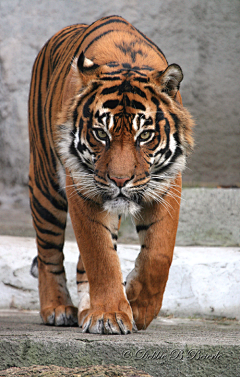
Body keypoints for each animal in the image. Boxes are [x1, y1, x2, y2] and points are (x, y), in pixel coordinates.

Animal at [28, 14, 193, 334]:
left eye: (145, 136)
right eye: (100, 134)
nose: (119, 181)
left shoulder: (167, 183)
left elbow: (159, 253)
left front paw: (138, 307)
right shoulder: (82, 186)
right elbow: (100, 255)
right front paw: (110, 315)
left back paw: (86, 307)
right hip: (45, 186)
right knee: (48, 252)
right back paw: (57, 308)